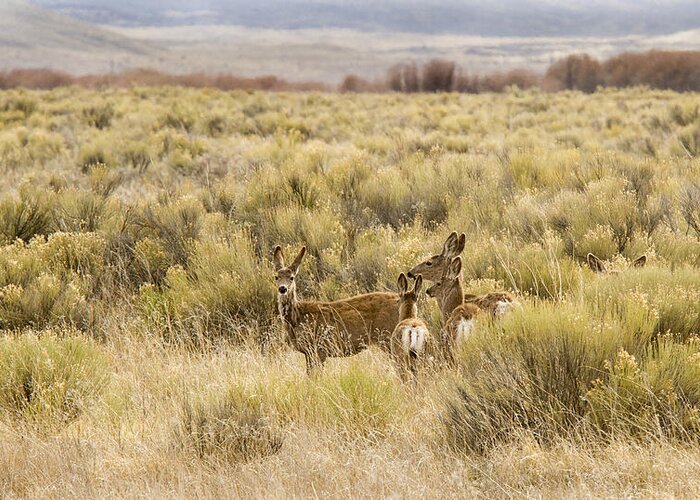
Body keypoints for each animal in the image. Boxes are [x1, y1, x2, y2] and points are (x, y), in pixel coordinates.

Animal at [274, 244, 400, 374]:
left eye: (292, 277)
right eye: (276, 277)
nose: (283, 288)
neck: (298, 316)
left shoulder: (320, 348)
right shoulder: (309, 352)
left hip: (388, 336)